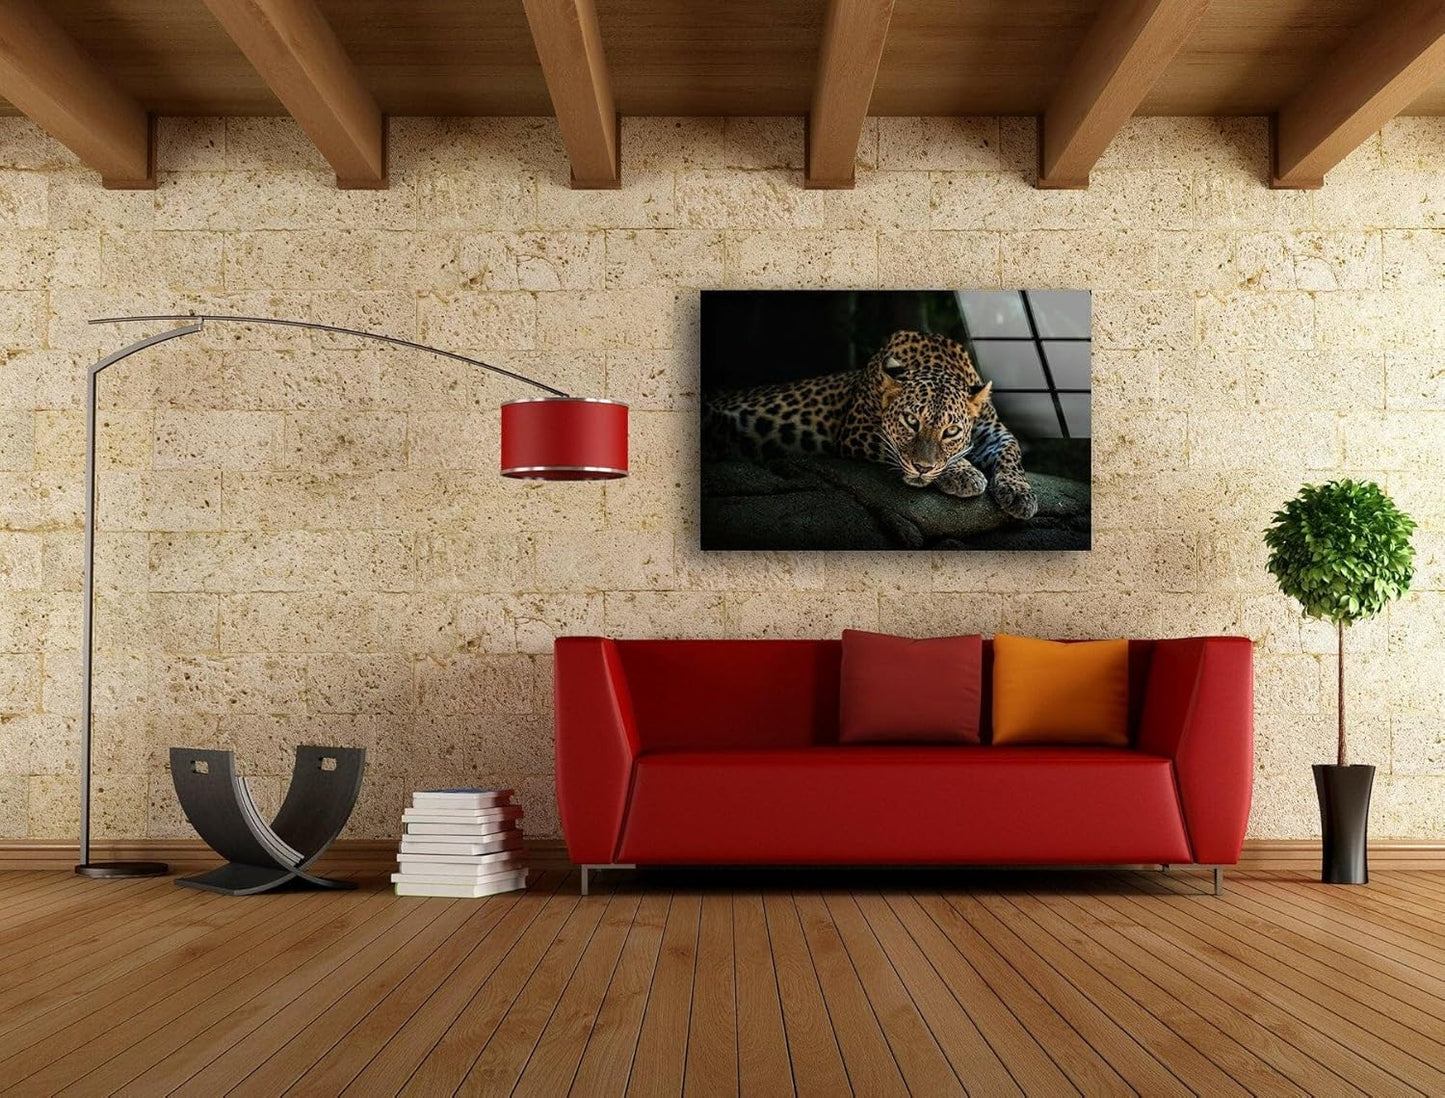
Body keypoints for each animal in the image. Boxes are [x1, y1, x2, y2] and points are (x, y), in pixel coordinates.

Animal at [703, 329, 1038, 520]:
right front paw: (964, 473)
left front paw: (1020, 493)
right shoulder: (857, 429)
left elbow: (1012, 453)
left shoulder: (994, 432)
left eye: (951, 431)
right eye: (910, 421)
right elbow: (897, 449)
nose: (923, 469)